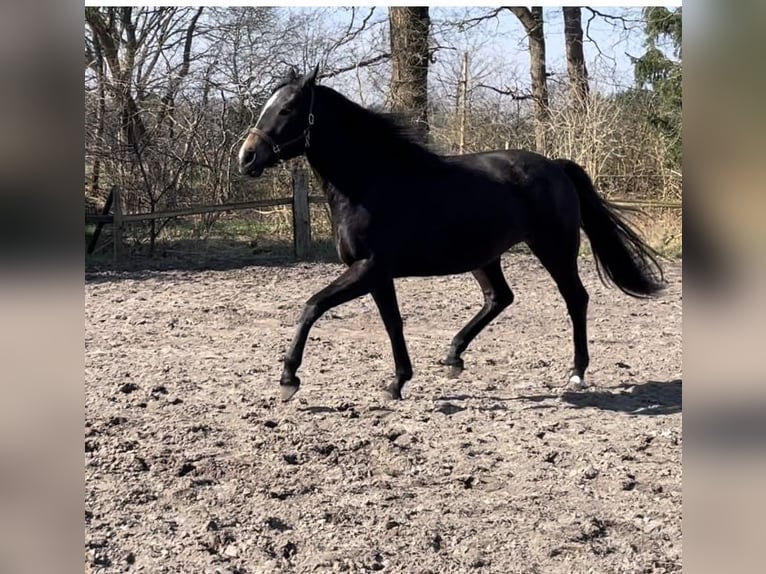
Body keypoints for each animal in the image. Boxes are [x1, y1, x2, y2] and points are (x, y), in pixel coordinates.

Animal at [240, 67, 664, 400]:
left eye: (287, 108)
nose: (247, 157)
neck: (370, 181)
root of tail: (557, 167)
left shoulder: (367, 268)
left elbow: (312, 306)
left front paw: (288, 379)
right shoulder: (376, 274)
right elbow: (392, 323)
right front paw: (398, 382)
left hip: (554, 249)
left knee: (576, 298)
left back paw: (576, 373)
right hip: (484, 257)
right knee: (499, 298)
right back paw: (452, 358)